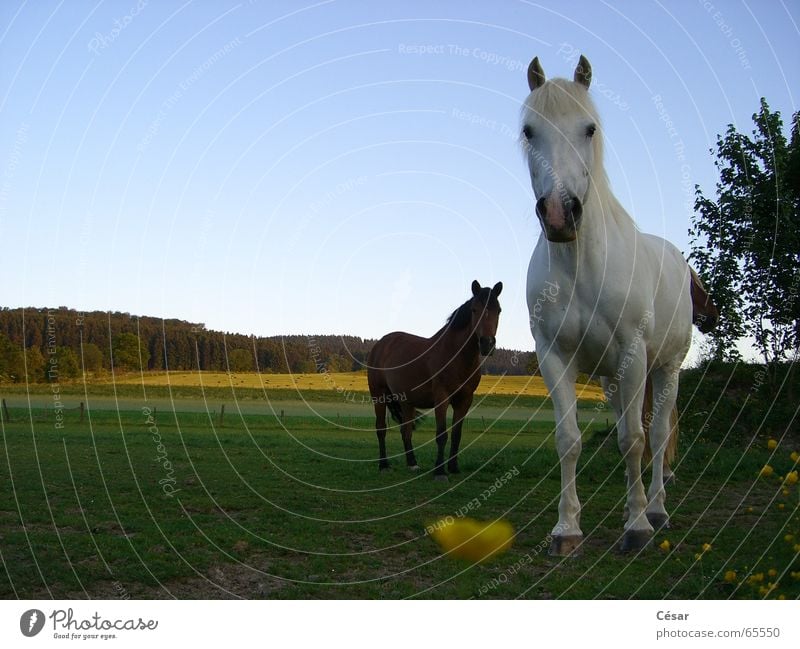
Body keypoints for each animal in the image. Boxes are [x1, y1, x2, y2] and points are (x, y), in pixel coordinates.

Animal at [368, 280, 500, 478]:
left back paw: (412, 464)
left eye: (498, 310)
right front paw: (440, 471)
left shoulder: (465, 400)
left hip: (406, 401)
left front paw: (453, 468)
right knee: (381, 428)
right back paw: (384, 465)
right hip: (379, 395)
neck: (455, 355)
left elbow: (456, 434)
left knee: (406, 431)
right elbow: (441, 434)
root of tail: (381, 344)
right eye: (474, 310)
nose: (487, 344)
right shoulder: (441, 398)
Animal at [520, 54, 704, 552]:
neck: (582, 266)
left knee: (656, 435)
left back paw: (655, 510)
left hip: (663, 367)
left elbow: (634, 440)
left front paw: (637, 527)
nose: (560, 213)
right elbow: (569, 440)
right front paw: (566, 530)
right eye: (529, 130)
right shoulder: (554, 357)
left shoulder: (633, 354)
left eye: (590, 128)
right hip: (614, 377)